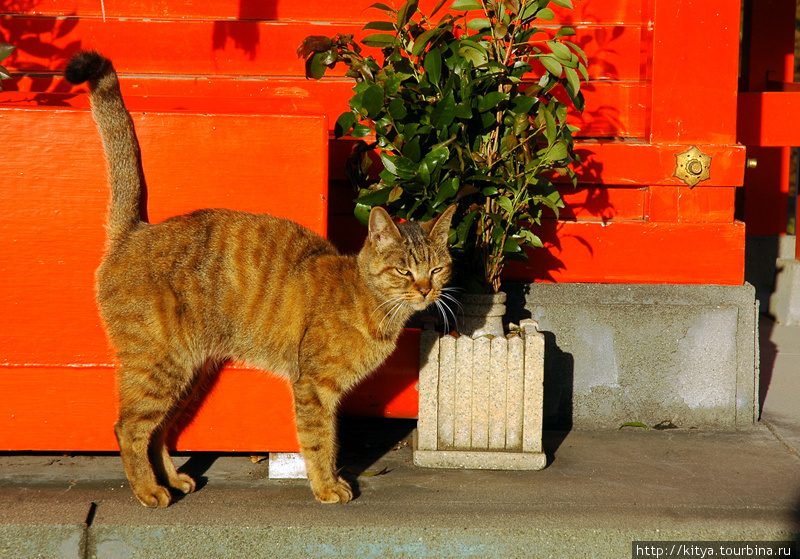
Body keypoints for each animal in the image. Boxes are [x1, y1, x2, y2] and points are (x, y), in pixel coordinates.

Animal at [65, 51, 454, 508]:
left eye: (437, 269)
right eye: (403, 270)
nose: (426, 289)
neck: (369, 303)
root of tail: (135, 231)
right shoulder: (314, 387)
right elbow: (320, 441)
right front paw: (326, 486)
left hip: (186, 373)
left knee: (158, 431)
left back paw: (173, 479)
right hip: (160, 365)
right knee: (128, 427)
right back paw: (148, 490)